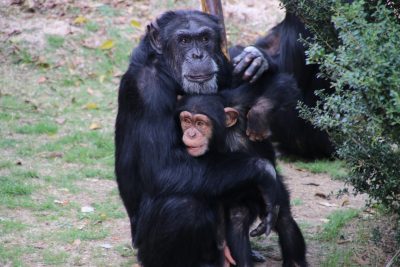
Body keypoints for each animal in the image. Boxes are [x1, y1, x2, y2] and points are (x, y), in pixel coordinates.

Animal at [115, 9, 284, 266]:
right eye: (184, 40)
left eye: (204, 38)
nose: (198, 55)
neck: (167, 71)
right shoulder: (146, 91)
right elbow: (162, 168)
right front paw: (265, 172)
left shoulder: (224, 65)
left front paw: (258, 61)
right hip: (144, 249)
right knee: (184, 205)